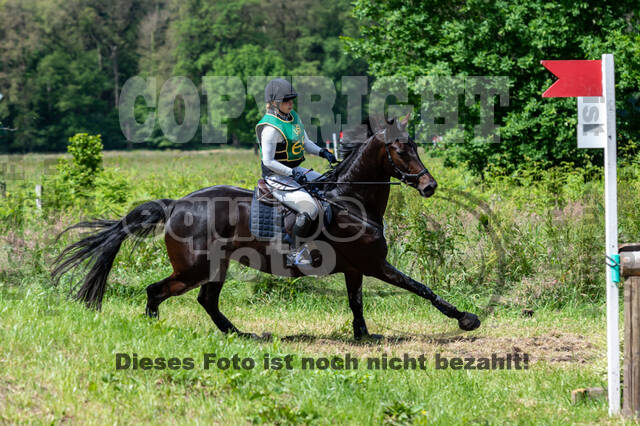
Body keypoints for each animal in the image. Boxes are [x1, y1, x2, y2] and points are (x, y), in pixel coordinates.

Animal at [51, 115, 481, 340]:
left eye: (415, 146)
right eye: (400, 150)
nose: (430, 186)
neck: (351, 201)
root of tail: (176, 204)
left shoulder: (356, 268)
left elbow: (356, 301)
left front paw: (362, 335)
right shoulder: (375, 265)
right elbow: (421, 287)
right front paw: (465, 318)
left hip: (215, 267)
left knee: (207, 300)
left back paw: (239, 335)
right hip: (194, 267)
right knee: (157, 291)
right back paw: (158, 329)